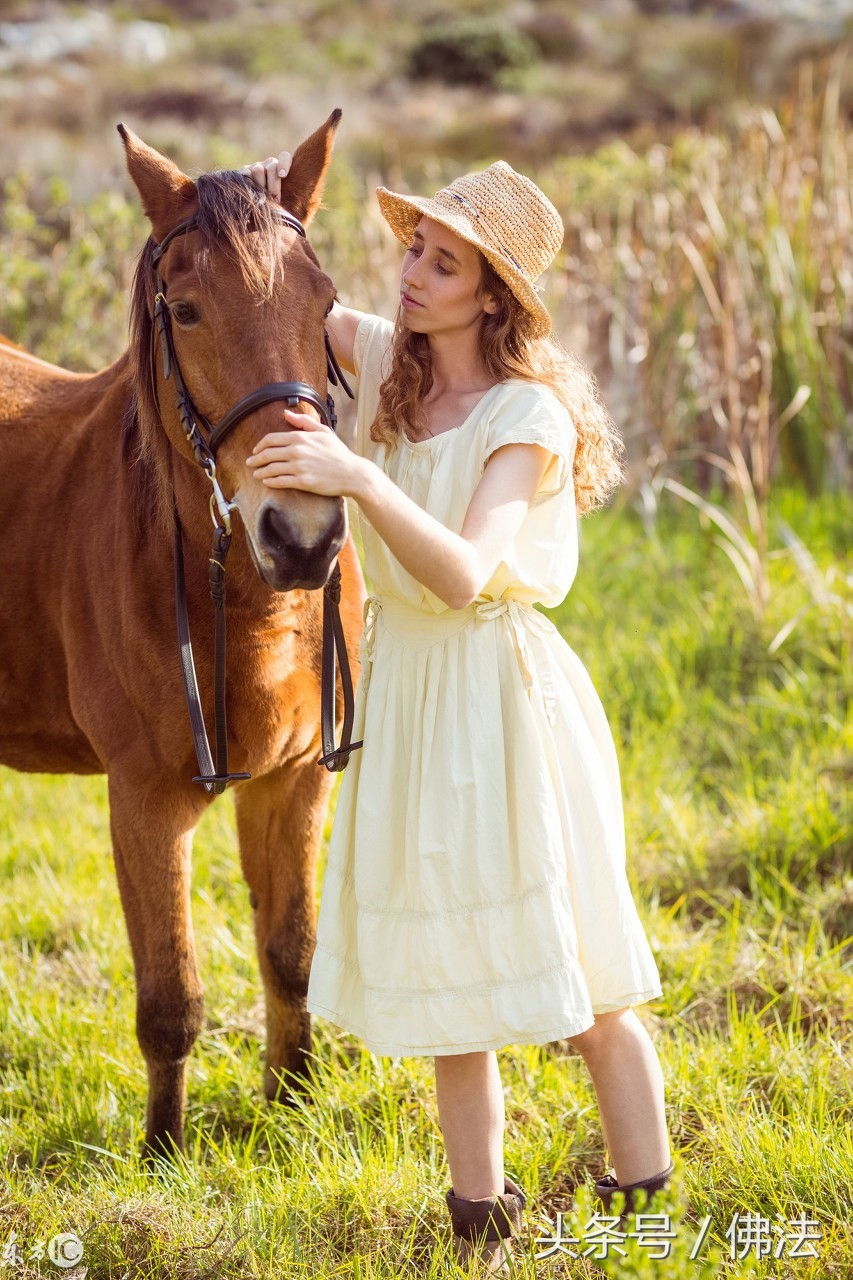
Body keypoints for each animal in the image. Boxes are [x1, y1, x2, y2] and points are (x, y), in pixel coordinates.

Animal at [0, 115, 361, 1162]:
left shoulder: (296, 781)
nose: (303, 536)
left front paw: (293, 1106)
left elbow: (292, 955)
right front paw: (163, 1153)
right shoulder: (146, 802)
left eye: (327, 302)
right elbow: (171, 1001)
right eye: (189, 312)